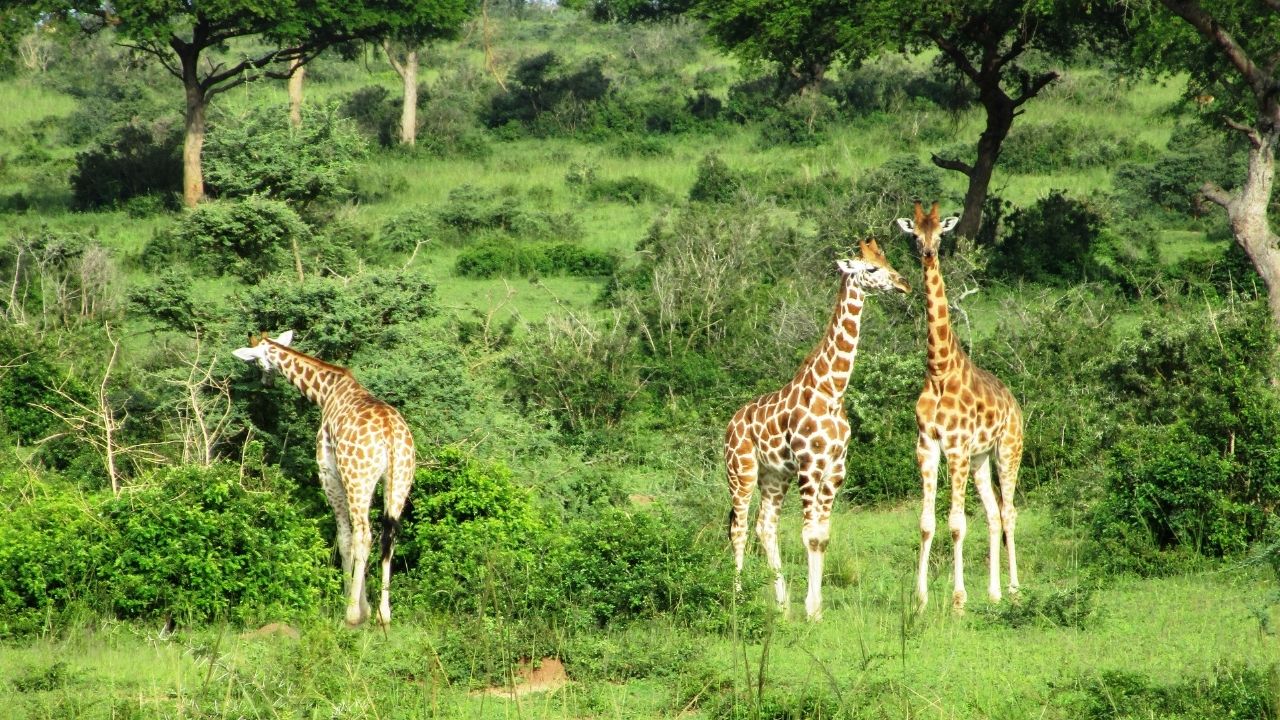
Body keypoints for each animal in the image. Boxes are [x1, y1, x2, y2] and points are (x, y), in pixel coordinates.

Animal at [232, 330, 415, 628]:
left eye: (256, 361)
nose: (265, 381)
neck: (327, 392)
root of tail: (390, 433)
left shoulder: (329, 473)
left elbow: (345, 540)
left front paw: (355, 607)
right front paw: (366, 607)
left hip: (358, 478)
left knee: (364, 536)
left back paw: (352, 615)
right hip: (400, 479)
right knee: (389, 538)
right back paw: (383, 615)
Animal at [726, 240, 911, 621]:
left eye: (886, 260)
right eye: (871, 269)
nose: (904, 284)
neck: (833, 390)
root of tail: (728, 426)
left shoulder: (835, 469)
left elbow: (822, 536)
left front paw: (815, 607)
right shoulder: (810, 467)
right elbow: (809, 535)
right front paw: (812, 611)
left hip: (774, 476)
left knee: (765, 526)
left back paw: (781, 606)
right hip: (741, 473)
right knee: (738, 529)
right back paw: (737, 598)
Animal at [895, 202, 1023, 612]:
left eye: (941, 233)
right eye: (915, 234)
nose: (927, 252)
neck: (938, 370)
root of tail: (1015, 403)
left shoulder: (955, 447)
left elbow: (956, 524)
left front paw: (957, 599)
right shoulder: (927, 446)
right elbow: (926, 523)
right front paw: (920, 599)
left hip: (1008, 450)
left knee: (1009, 512)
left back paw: (1014, 590)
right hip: (981, 459)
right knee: (994, 515)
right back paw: (995, 593)